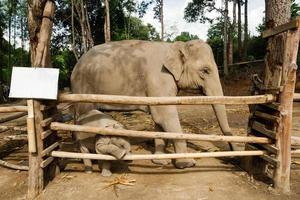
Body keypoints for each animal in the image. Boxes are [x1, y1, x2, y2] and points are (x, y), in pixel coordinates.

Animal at [71, 40, 232, 169]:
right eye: (205, 70)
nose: (231, 156)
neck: (174, 46)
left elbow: (159, 120)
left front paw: (161, 161)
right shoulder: (159, 79)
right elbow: (166, 116)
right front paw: (187, 164)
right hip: (83, 87)